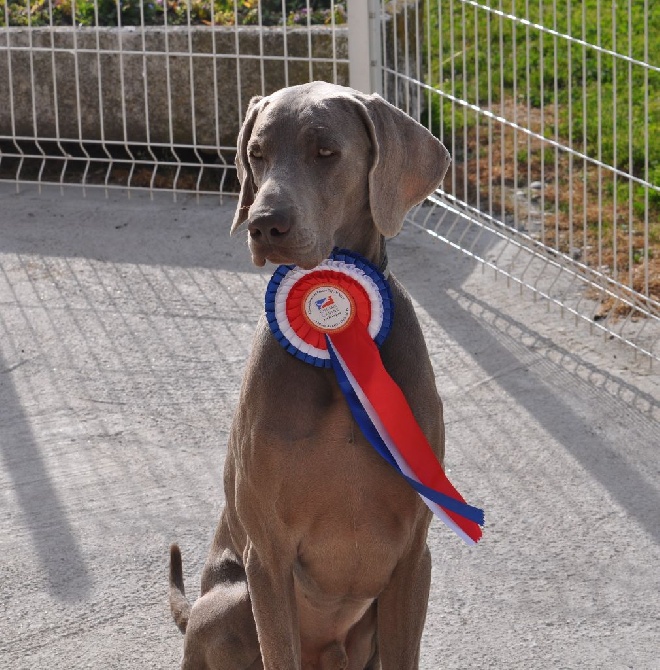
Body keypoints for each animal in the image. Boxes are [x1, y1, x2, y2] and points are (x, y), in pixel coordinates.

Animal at [168, 82, 452, 670]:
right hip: (226, 602)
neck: (334, 352)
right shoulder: (268, 555)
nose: (264, 223)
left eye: (326, 152)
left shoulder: (415, 556)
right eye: (256, 152)